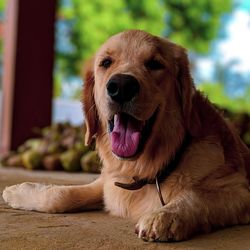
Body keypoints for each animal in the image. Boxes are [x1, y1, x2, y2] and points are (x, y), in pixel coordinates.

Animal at [2, 29, 250, 242]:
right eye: (106, 63)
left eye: (154, 64)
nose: (121, 86)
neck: (146, 171)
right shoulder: (109, 184)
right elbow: (61, 196)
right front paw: (19, 192)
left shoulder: (240, 191)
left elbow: (196, 194)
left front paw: (165, 216)